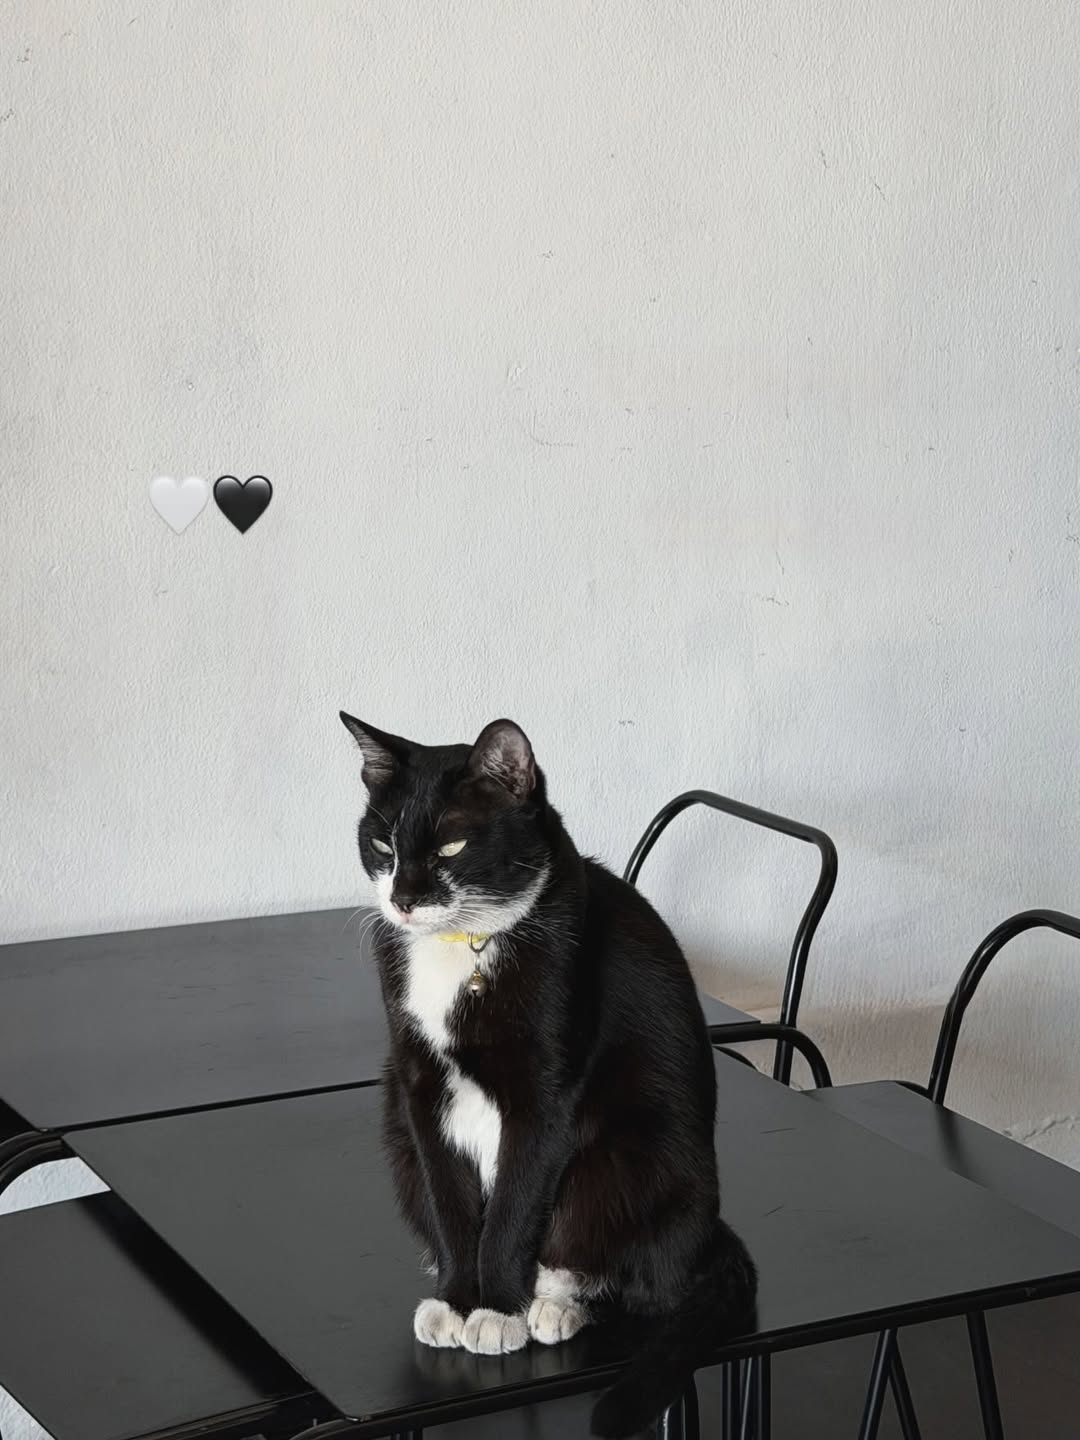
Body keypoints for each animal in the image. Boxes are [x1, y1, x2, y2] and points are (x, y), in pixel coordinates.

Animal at [340, 712, 757, 1437]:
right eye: (381, 843)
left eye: (451, 846)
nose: (404, 902)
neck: (465, 948)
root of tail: (710, 1229)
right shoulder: (418, 1087)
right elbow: (451, 1201)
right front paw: (458, 1297)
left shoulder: (545, 1096)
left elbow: (514, 1207)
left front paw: (497, 1309)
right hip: (395, 1131)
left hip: (633, 1155)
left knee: (620, 1266)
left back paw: (553, 1303)